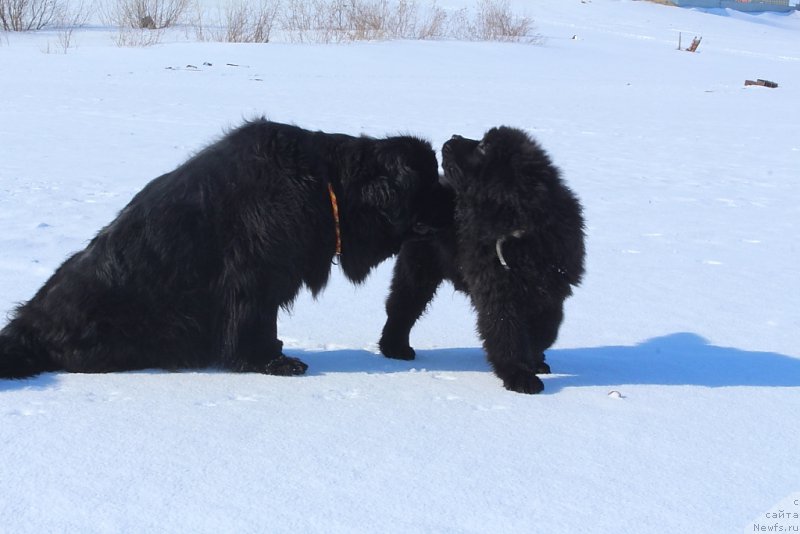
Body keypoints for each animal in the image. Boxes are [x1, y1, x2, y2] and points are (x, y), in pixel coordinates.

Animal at [0, 120, 444, 382]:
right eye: (428, 182)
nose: (452, 195)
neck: (326, 184)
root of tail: (26, 327)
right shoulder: (254, 280)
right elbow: (254, 325)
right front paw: (272, 363)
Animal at [378, 125, 584, 394]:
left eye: (484, 146)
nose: (454, 136)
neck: (518, 232)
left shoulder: (551, 292)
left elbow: (545, 331)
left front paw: (534, 360)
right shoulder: (499, 294)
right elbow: (506, 333)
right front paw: (519, 376)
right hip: (417, 270)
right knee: (402, 307)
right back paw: (395, 347)